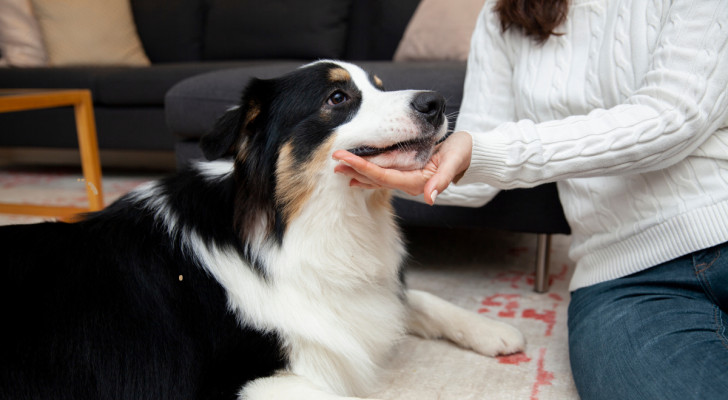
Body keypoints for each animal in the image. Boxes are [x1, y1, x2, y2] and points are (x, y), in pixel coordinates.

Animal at [0, 60, 524, 400]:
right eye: (338, 97)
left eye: (380, 85)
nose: (436, 102)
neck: (296, 225)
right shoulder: (233, 380)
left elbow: (420, 297)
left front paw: (491, 329)